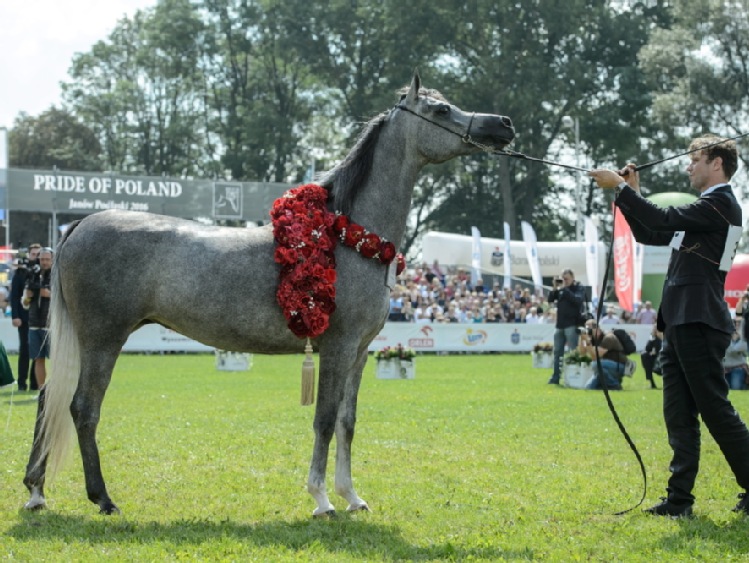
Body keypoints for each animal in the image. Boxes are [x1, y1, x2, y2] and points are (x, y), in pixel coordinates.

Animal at [23, 72, 516, 516]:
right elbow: (324, 419)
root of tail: (81, 224)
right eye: (441, 110)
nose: (503, 124)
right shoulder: (337, 348)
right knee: (82, 407)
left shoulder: (359, 353)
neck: (347, 236)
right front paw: (321, 500)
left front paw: (352, 496)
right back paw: (102, 499)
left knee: (48, 400)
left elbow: (347, 422)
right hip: (103, 339)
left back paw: (36, 491)